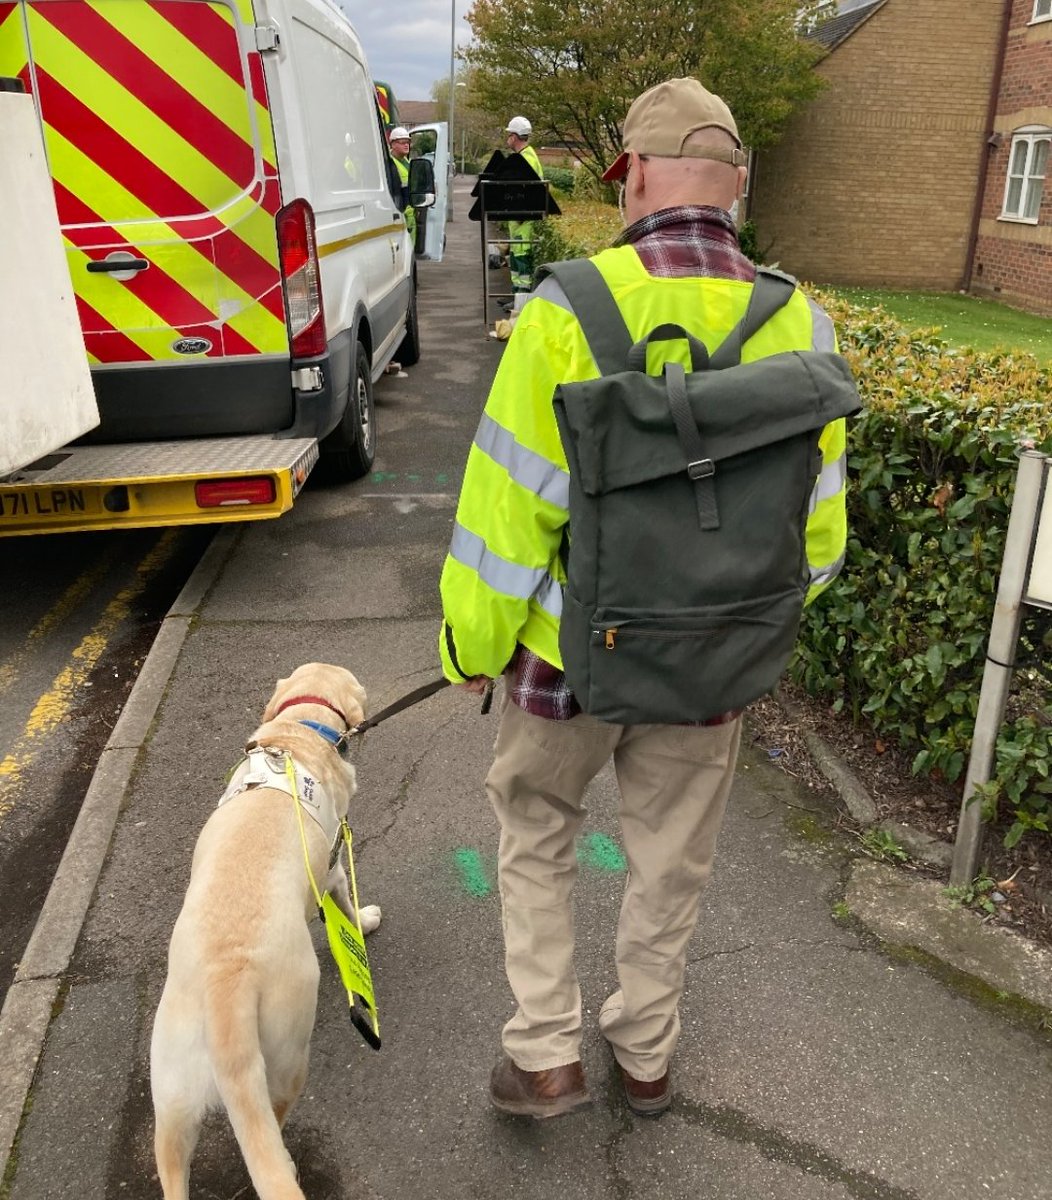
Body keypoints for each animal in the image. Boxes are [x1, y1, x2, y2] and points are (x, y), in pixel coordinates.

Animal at [147, 662, 376, 1195]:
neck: (299, 731)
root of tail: (224, 988)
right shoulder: (333, 866)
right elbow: (346, 904)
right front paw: (367, 921)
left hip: (170, 1088)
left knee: (172, 1167)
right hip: (288, 1051)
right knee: (274, 1119)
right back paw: (288, 1162)